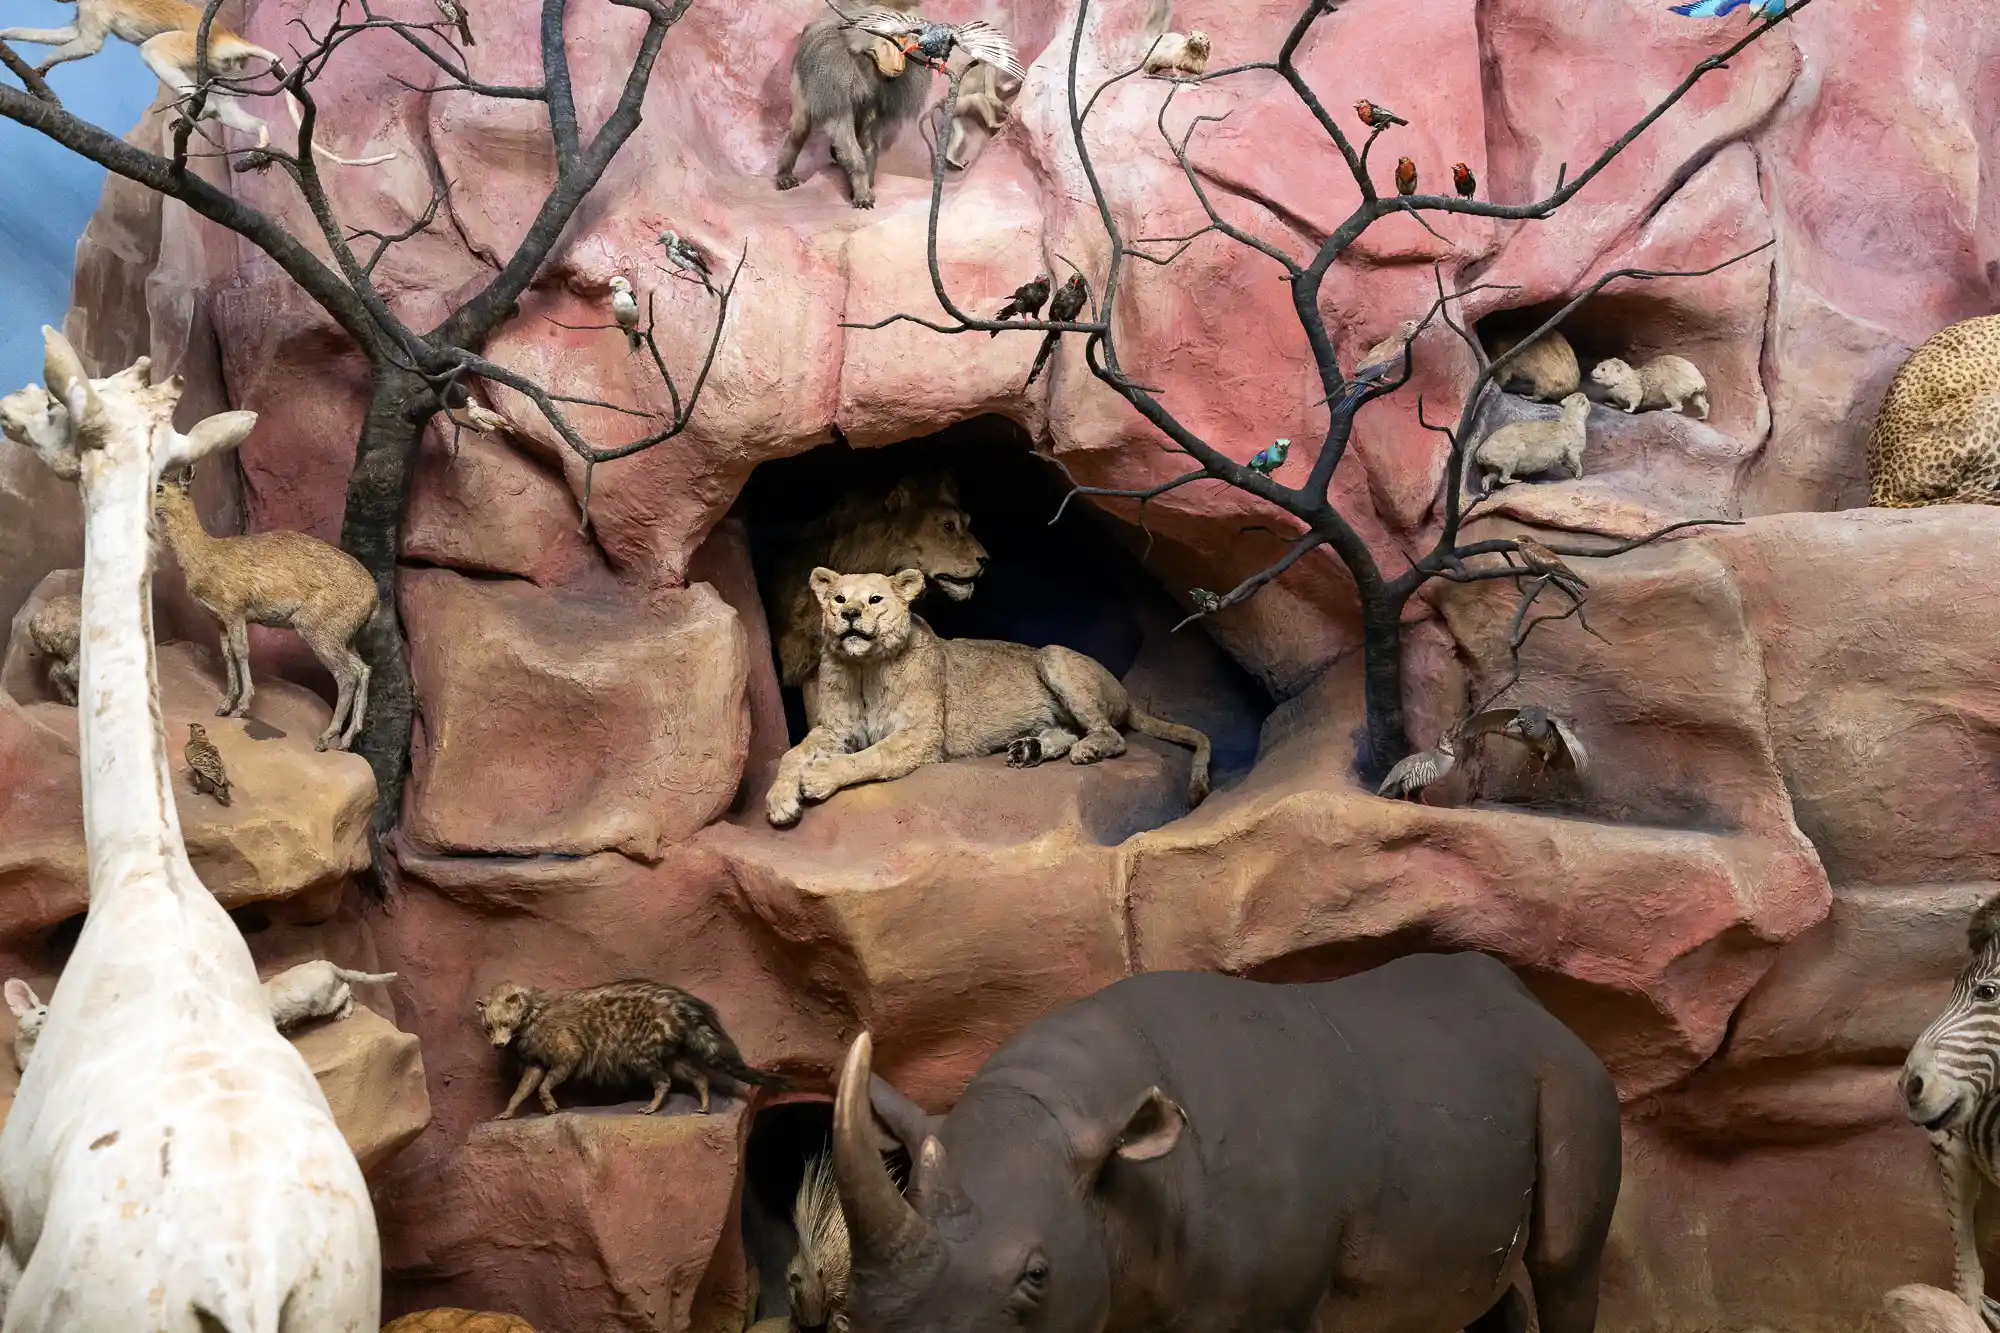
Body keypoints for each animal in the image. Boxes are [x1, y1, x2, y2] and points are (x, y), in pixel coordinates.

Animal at [765, 568, 1212, 827]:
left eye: (875, 599)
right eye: (839, 599)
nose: (850, 614)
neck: (864, 669)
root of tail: (1124, 691)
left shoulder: (920, 737)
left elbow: (868, 757)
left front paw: (820, 776)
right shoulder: (834, 729)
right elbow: (792, 754)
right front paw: (779, 801)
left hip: (1051, 655)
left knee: (1111, 735)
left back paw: (1083, 751)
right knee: (1068, 730)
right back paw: (1029, 750)